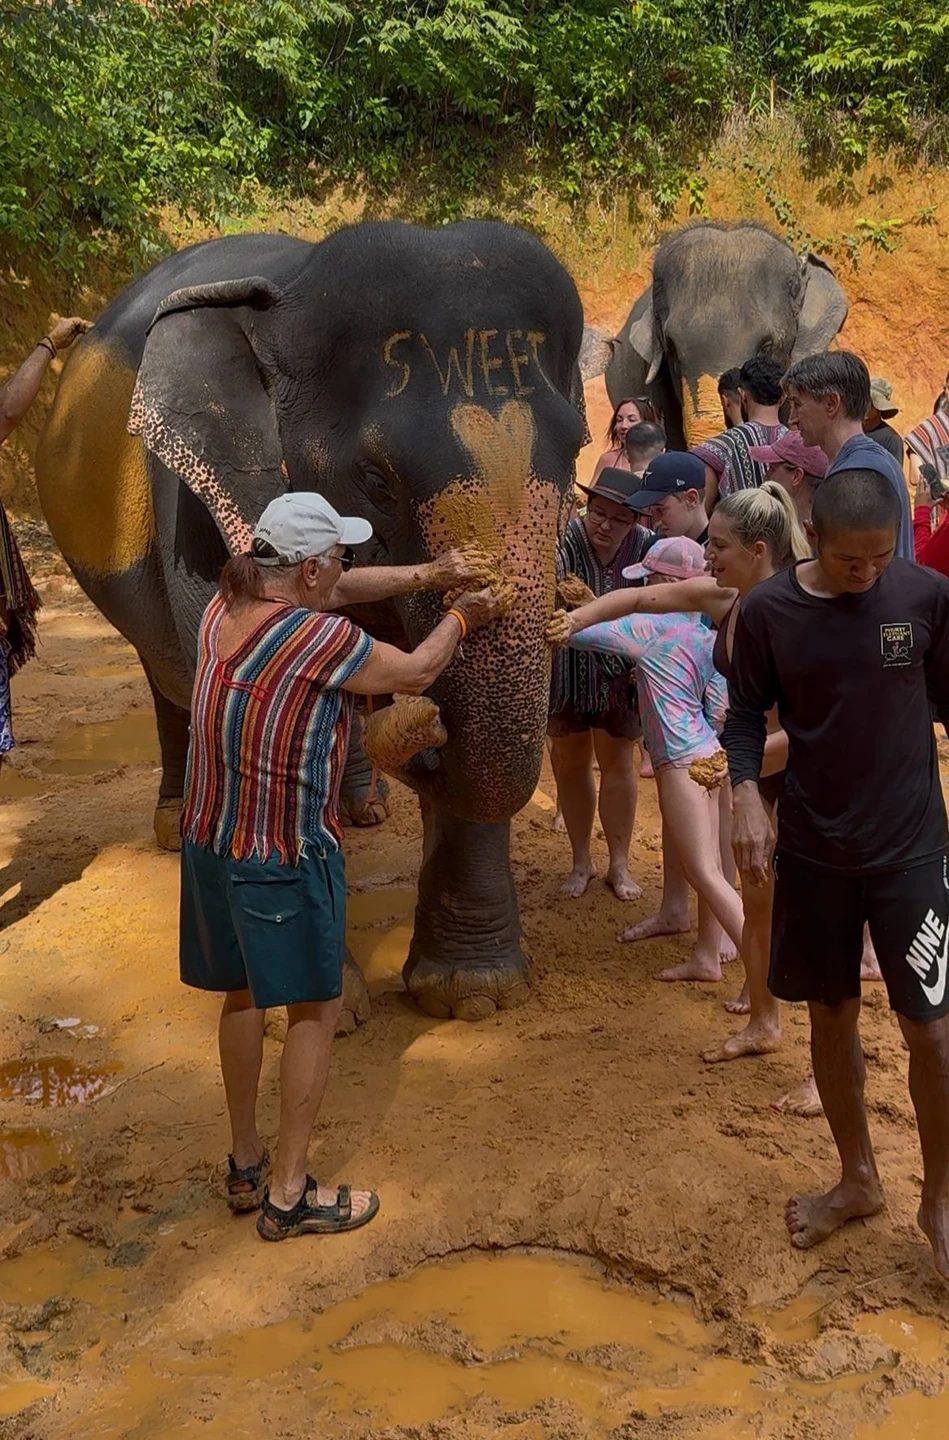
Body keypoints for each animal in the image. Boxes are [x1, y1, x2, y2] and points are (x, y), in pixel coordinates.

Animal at [35, 221, 587, 1021]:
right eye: (376, 478)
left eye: (577, 452)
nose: (422, 727)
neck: (287, 291)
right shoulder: (196, 505)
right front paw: (303, 1005)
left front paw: (472, 994)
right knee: (164, 673)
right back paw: (178, 825)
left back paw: (359, 809)